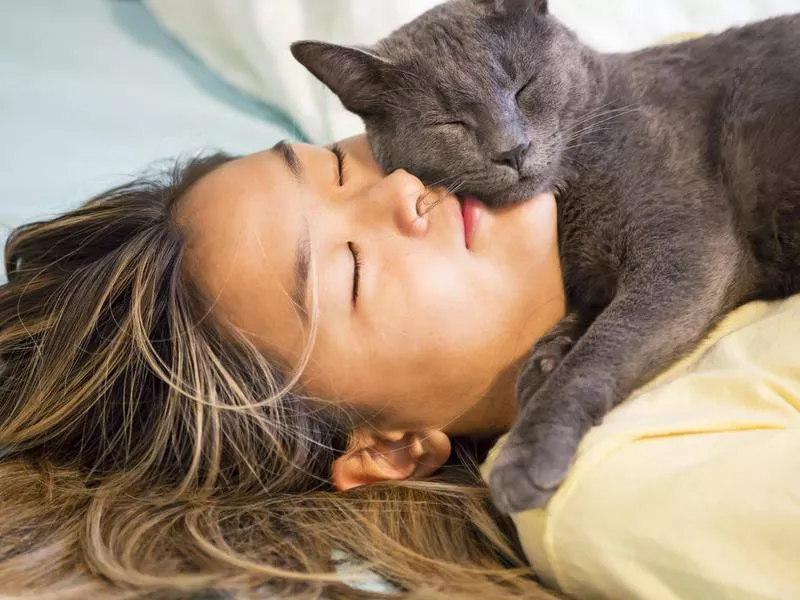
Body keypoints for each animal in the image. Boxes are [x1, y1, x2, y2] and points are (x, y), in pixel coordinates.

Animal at [290, 0, 800, 512]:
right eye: (450, 122)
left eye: (525, 86)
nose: (512, 149)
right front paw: (547, 356)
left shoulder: (685, 249)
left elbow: (603, 346)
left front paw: (527, 452)